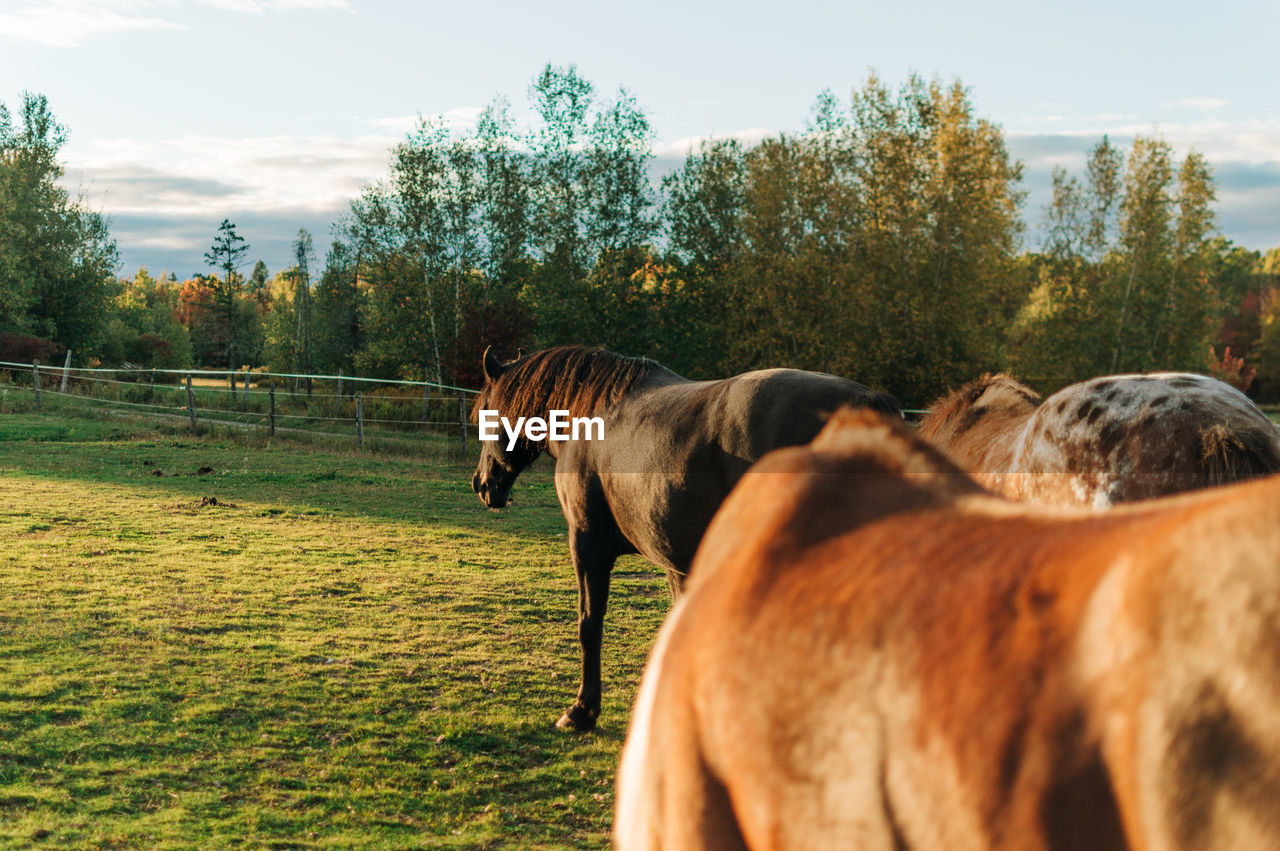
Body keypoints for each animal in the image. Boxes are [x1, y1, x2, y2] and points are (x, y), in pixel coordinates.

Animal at [465, 345, 896, 731]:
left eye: (487, 415)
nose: (481, 484)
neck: (587, 418)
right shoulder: (677, 560)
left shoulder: (587, 546)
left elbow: (589, 624)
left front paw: (582, 711)